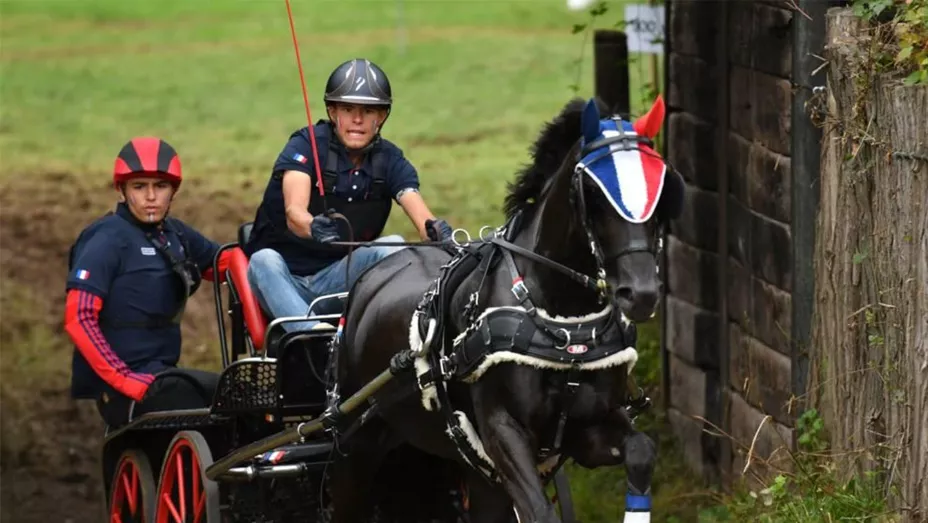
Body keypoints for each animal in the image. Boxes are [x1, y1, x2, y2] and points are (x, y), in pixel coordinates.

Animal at [326, 95, 680, 523]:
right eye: (592, 194)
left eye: (663, 192)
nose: (640, 293)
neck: (563, 328)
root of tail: (367, 279)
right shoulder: (502, 431)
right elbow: (539, 511)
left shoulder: (587, 428)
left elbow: (641, 451)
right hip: (356, 445)